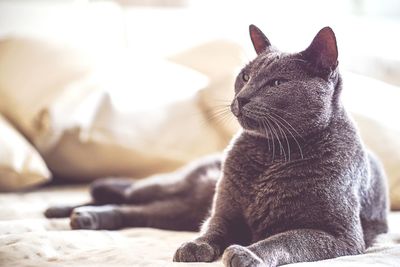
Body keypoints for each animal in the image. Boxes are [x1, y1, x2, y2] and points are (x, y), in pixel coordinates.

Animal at [44, 24, 388, 266]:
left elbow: (287, 240)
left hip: (180, 210)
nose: (242, 97)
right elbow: (214, 230)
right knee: (124, 193)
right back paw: (65, 210)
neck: (272, 155)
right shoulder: (225, 213)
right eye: (245, 76)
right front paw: (197, 246)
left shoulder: (340, 236)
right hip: (173, 190)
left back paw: (84, 216)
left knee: (135, 210)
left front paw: (249, 253)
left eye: (277, 83)